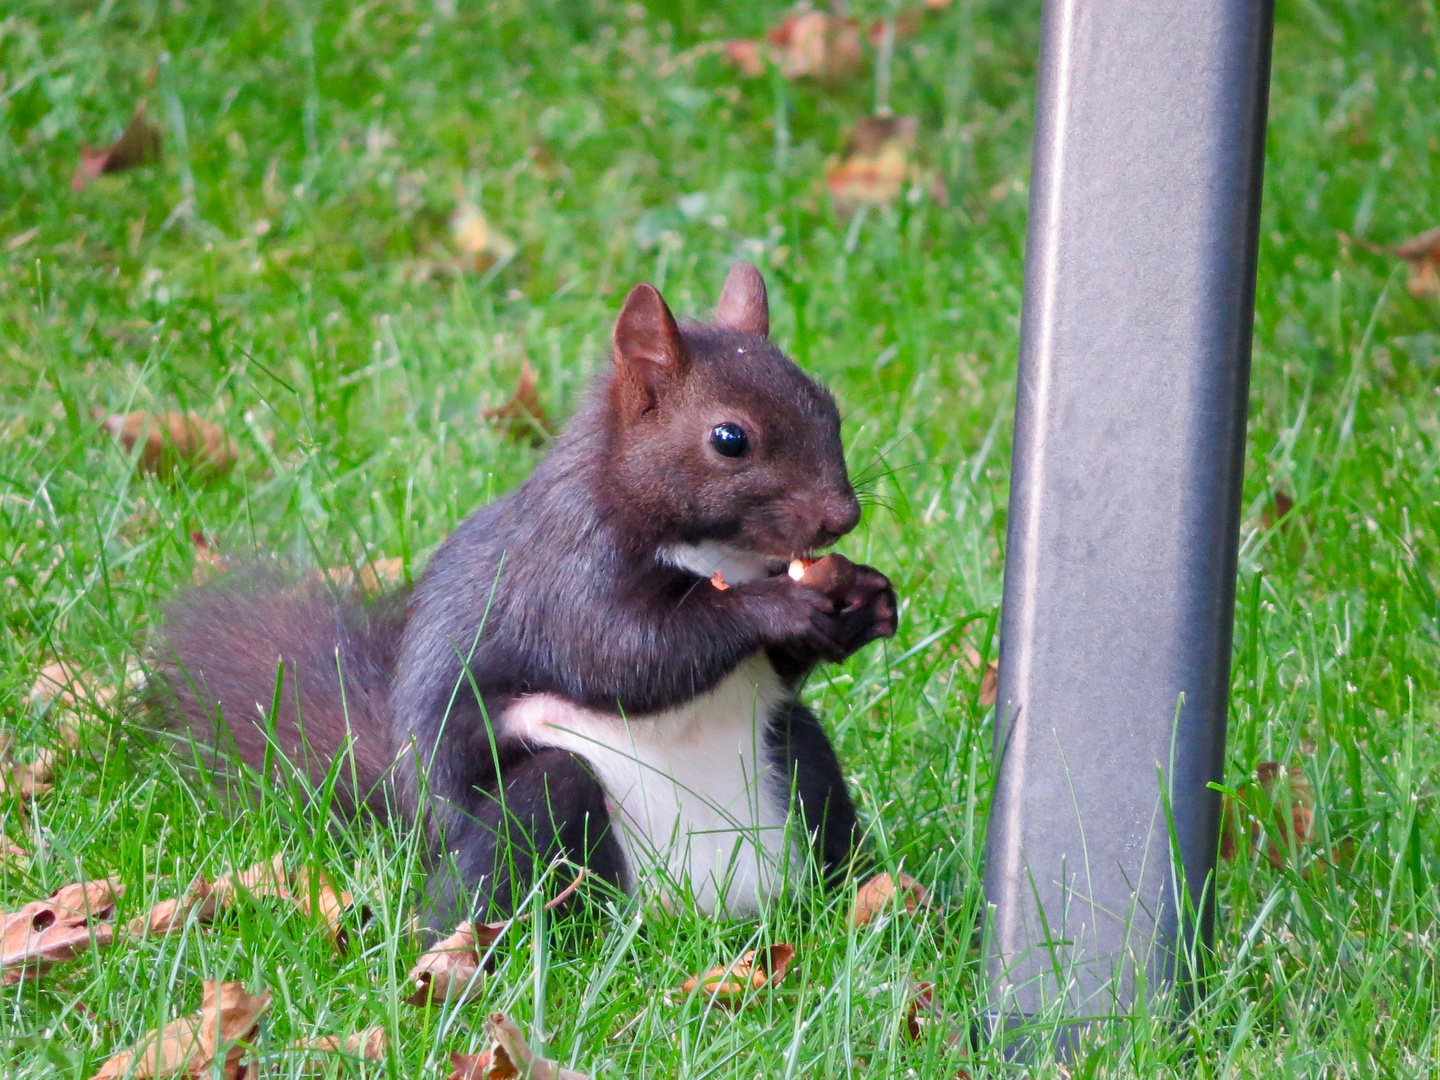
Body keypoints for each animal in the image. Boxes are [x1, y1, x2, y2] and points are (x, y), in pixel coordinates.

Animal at [151, 264, 892, 933]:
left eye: (829, 405)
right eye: (730, 439)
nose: (843, 516)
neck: (715, 555)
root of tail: (700, 913)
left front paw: (867, 600)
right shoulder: (563, 575)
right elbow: (627, 656)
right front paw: (776, 609)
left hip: (799, 762)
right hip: (541, 806)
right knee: (502, 865)